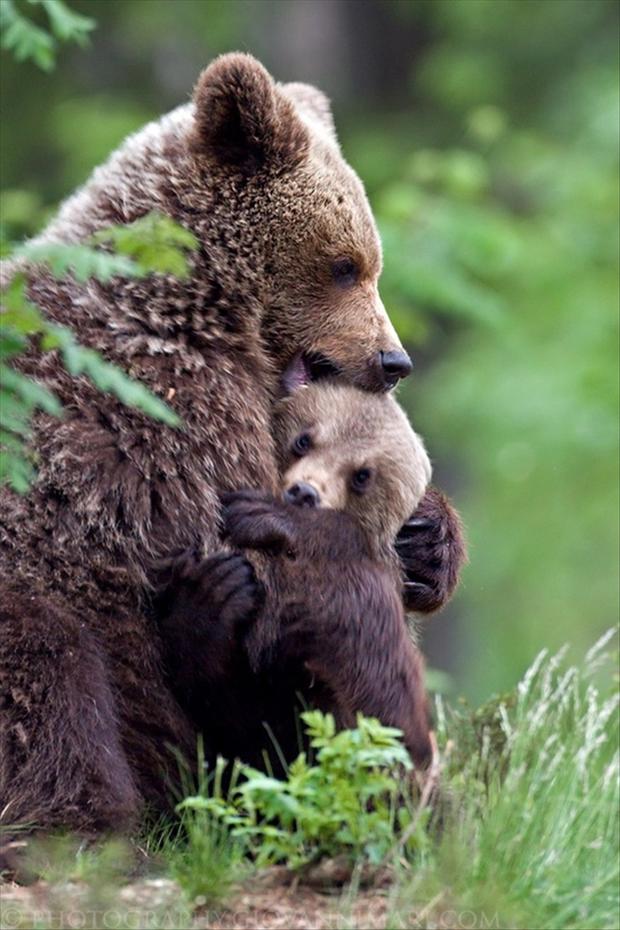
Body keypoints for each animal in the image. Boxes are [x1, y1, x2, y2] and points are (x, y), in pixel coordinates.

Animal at [0, 54, 464, 840]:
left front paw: (428, 540)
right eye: (345, 264)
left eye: (370, 262)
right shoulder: (167, 417)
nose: (393, 360)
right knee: (53, 681)